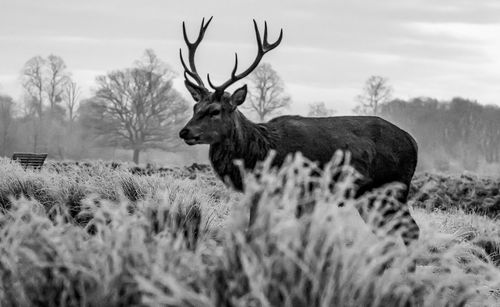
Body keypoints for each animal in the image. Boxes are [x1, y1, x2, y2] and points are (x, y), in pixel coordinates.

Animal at [178, 17, 420, 248]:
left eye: (215, 111)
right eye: (195, 107)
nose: (184, 132)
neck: (260, 154)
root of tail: (413, 142)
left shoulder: (305, 191)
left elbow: (302, 236)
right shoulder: (261, 194)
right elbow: (252, 232)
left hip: (393, 188)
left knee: (410, 231)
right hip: (371, 197)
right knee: (392, 234)